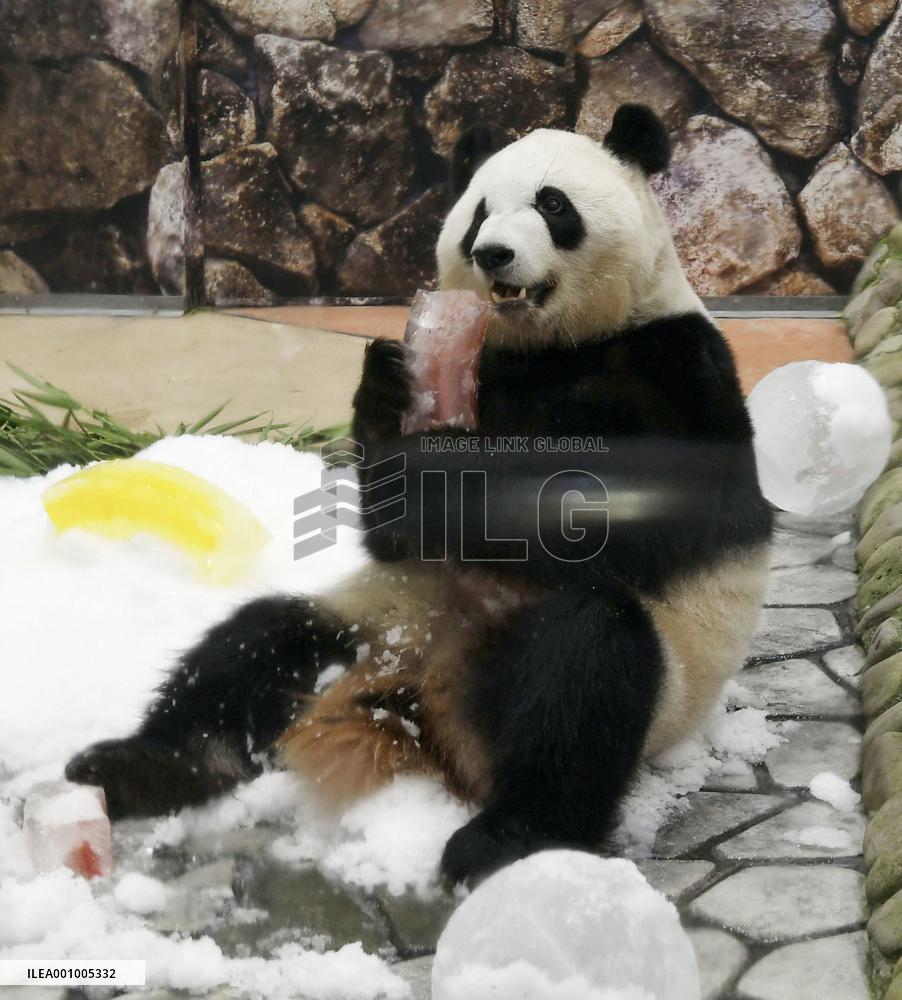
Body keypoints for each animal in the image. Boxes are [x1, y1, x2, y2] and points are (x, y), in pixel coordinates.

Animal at [65, 105, 773, 885]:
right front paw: (387, 390)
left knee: (586, 672)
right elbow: (390, 533)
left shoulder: (672, 371)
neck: (551, 345)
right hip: (373, 620)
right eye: (479, 214)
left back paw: (503, 839)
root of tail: (419, 706)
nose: (494, 254)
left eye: (553, 206)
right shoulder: (494, 367)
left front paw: (433, 466)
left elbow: (610, 510)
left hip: (658, 684)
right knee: (258, 644)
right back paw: (138, 766)